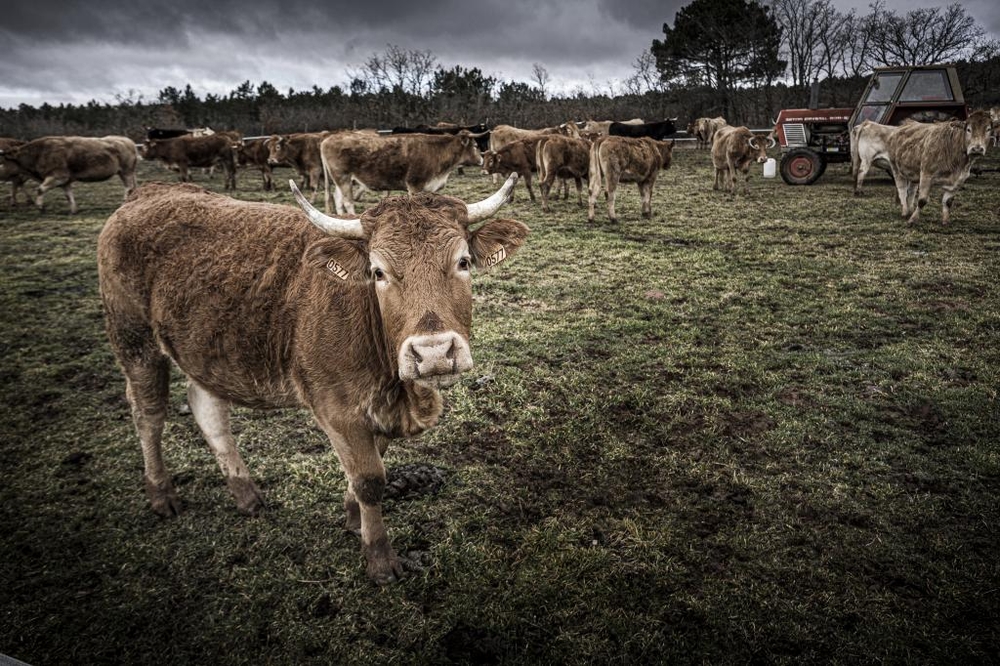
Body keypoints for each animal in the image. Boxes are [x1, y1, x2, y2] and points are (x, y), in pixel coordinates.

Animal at [0, 136, 138, 214]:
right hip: (124, 173)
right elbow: (68, 195)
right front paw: (73, 210)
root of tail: (128, 141)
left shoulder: (57, 177)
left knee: (129, 188)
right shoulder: (65, 182)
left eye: (2, 162)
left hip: (126, 172)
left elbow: (40, 189)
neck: (39, 153)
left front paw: (40, 207)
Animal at [99, 172, 532, 580]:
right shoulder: (335, 408)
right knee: (148, 416)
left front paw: (354, 520)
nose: (434, 352)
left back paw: (246, 494)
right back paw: (161, 494)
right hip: (134, 340)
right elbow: (369, 479)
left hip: (205, 351)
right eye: (378, 272)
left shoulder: (375, 409)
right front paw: (379, 559)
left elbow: (369, 468)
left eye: (463, 262)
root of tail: (150, 192)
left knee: (208, 409)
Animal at [316, 129, 480, 213]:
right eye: (476, 145)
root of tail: (327, 139)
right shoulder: (415, 185)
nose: (481, 160)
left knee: (337, 198)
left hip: (341, 178)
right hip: (342, 176)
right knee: (347, 201)